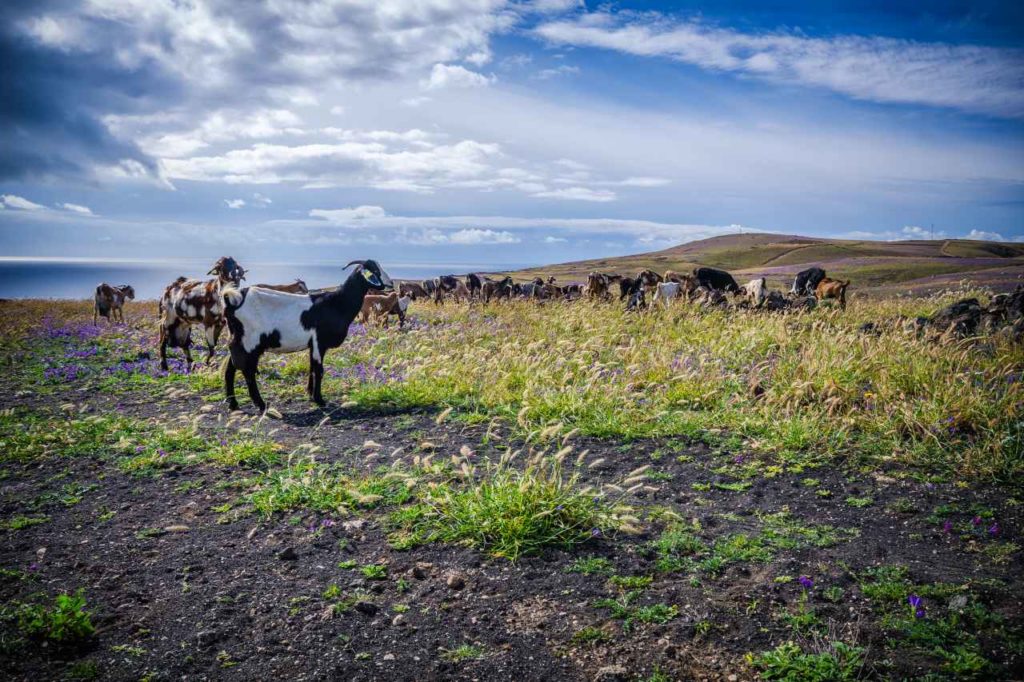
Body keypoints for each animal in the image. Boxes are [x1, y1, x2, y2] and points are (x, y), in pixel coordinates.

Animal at [222, 259, 393, 409]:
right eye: (375, 271)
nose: (391, 283)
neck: (336, 303)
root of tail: (233, 300)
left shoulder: (313, 344)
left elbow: (311, 367)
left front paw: (311, 394)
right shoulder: (319, 341)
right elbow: (319, 369)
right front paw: (319, 400)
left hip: (240, 341)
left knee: (230, 368)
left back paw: (233, 404)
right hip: (250, 341)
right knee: (247, 370)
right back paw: (260, 404)